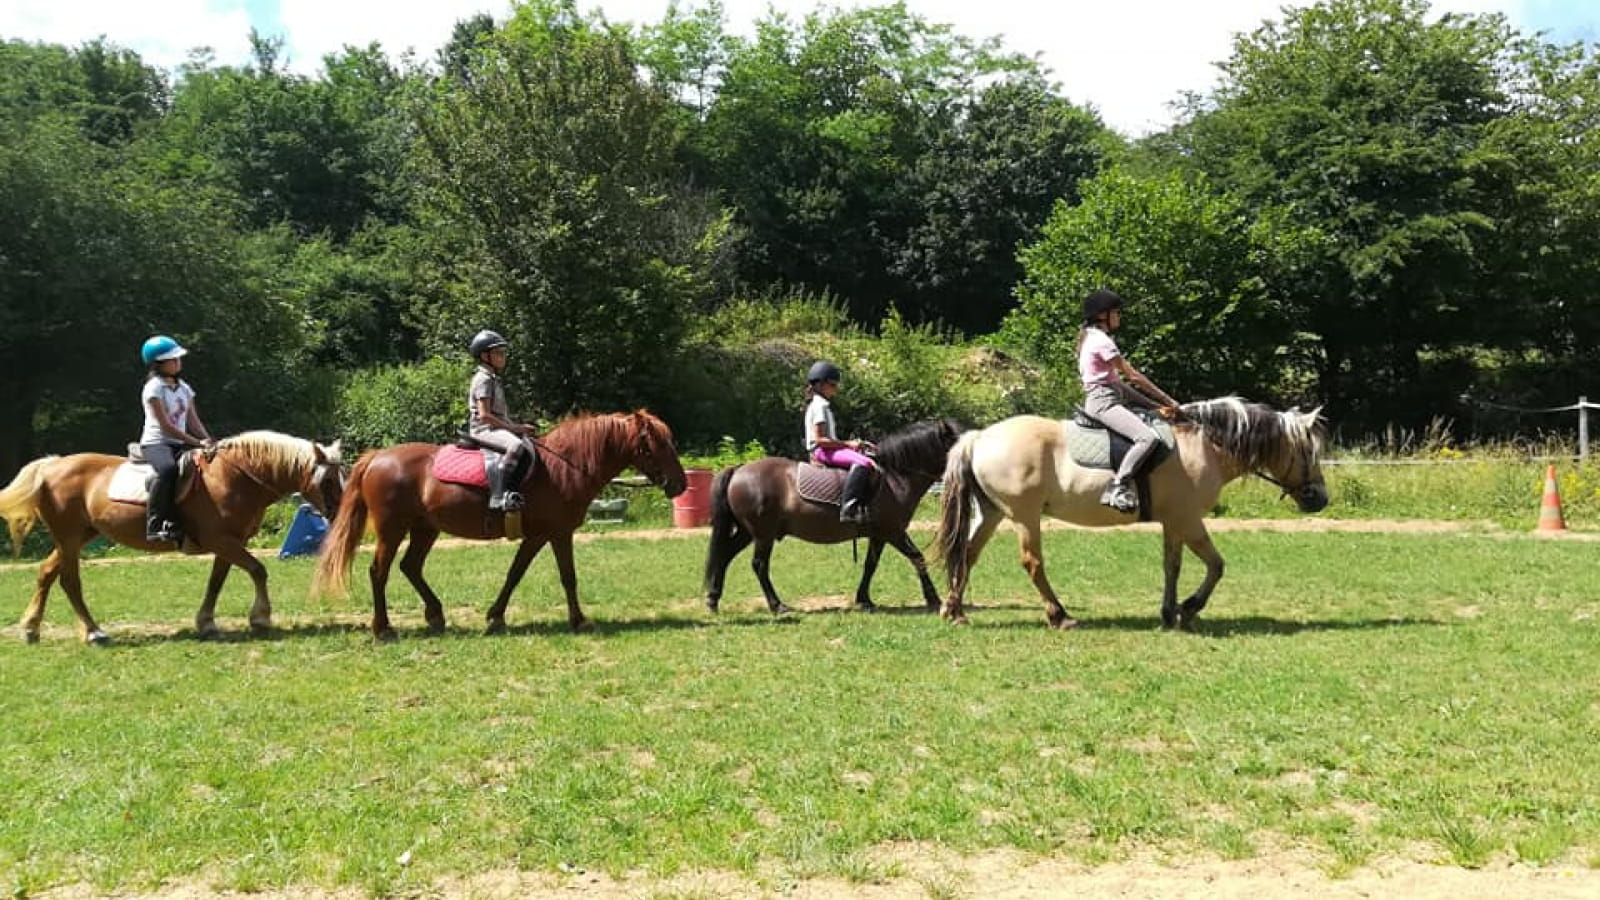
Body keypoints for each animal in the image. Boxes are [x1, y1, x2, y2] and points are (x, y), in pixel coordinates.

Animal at [0, 432, 347, 640]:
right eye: (328, 480)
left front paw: (206, 622)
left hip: (77, 536)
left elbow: (216, 581)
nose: (340, 511)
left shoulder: (230, 542)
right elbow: (258, 570)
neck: (234, 477)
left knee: (46, 572)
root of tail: (51, 466)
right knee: (69, 581)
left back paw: (31, 628)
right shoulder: (221, 540)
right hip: (69, 538)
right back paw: (93, 632)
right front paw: (260, 618)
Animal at [315, 409, 684, 634]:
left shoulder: (538, 536)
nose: (680, 485)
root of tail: (378, 457)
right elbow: (568, 577)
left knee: (411, 567)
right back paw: (384, 629)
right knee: (380, 572)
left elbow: (515, 573)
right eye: (655, 445)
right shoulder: (558, 533)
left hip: (425, 528)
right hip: (393, 529)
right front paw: (580, 621)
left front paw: (495, 616)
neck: (564, 467)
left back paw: (435, 615)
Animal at [704, 416, 960, 611]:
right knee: (759, 565)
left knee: (725, 556)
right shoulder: (893, 531)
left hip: (747, 532)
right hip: (763, 534)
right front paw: (933, 598)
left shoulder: (879, 534)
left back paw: (713, 599)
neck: (894, 477)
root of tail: (739, 469)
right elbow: (918, 558)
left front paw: (864, 599)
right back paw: (777, 605)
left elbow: (870, 565)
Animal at [934, 398, 1331, 630]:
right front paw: (1190, 607)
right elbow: (1216, 565)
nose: (1321, 499)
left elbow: (1172, 566)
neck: (1204, 444)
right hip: (1024, 516)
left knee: (968, 554)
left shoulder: (1174, 522)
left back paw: (954, 611)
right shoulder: (1189, 520)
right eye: (1308, 452)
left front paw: (1170, 613)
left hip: (993, 513)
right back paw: (1059, 616)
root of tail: (980, 437)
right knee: (1032, 563)